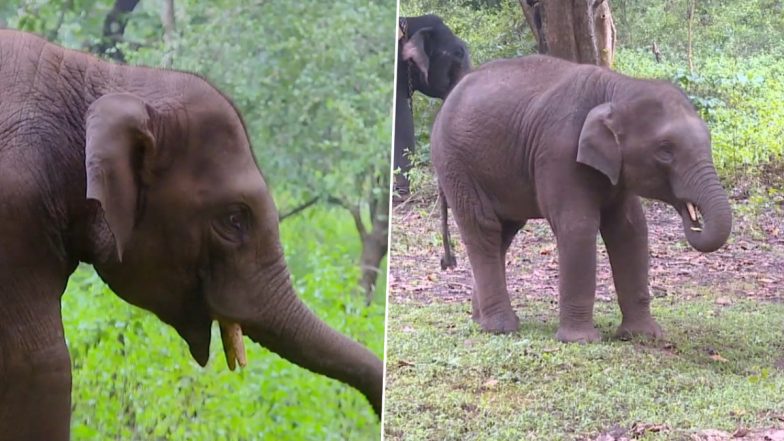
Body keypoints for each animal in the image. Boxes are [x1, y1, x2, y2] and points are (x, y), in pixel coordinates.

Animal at [432, 55, 732, 342]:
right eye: (665, 151)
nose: (694, 219)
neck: (617, 87)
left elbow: (631, 230)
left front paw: (642, 335)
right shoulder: (558, 153)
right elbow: (578, 227)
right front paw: (581, 340)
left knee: (503, 234)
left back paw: (481, 321)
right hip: (456, 165)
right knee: (483, 228)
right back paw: (501, 328)